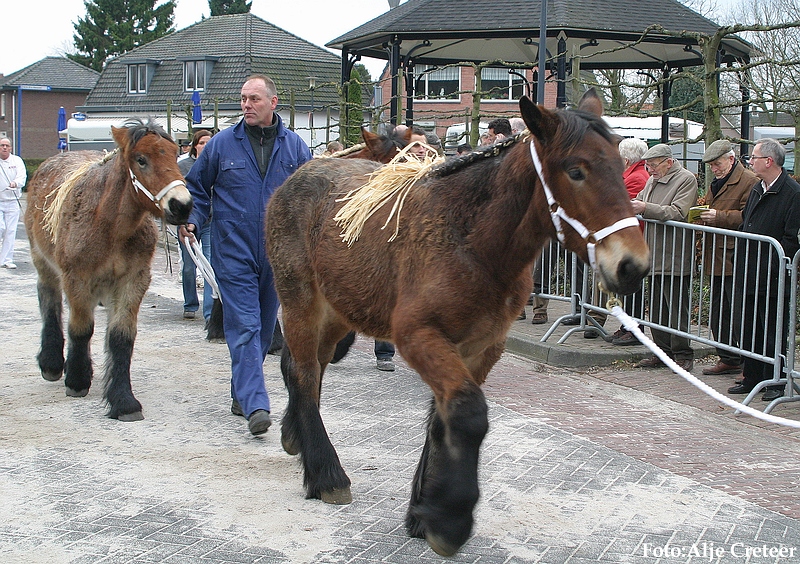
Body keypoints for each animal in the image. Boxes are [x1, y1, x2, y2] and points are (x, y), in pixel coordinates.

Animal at [25, 118, 191, 418]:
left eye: (175, 154)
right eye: (141, 159)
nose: (182, 205)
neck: (110, 226)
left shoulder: (133, 280)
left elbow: (121, 337)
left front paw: (123, 399)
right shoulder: (77, 280)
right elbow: (81, 328)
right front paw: (77, 379)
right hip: (44, 264)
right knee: (49, 301)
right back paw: (52, 362)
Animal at [264, 89, 648, 556]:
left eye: (620, 165)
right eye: (576, 171)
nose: (632, 265)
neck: (470, 239)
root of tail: (298, 175)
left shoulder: (482, 345)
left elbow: (442, 418)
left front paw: (422, 511)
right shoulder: (418, 335)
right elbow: (467, 413)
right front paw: (450, 518)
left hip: (338, 310)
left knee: (311, 368)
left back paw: (296, 439)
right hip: (301, 300)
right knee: (302, 371)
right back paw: (325, 473)